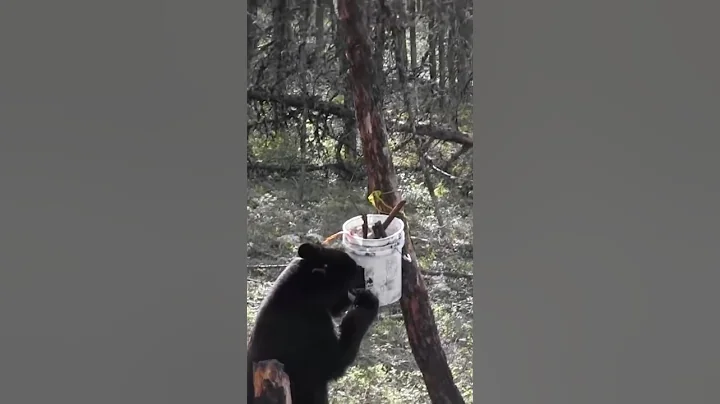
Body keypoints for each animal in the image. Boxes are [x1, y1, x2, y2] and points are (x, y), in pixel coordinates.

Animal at [247, 242, 380, 404]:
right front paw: (366, 303)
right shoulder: (315, 327)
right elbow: (334, 361)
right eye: (353, 268)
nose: (364, 270)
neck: (307, 292)